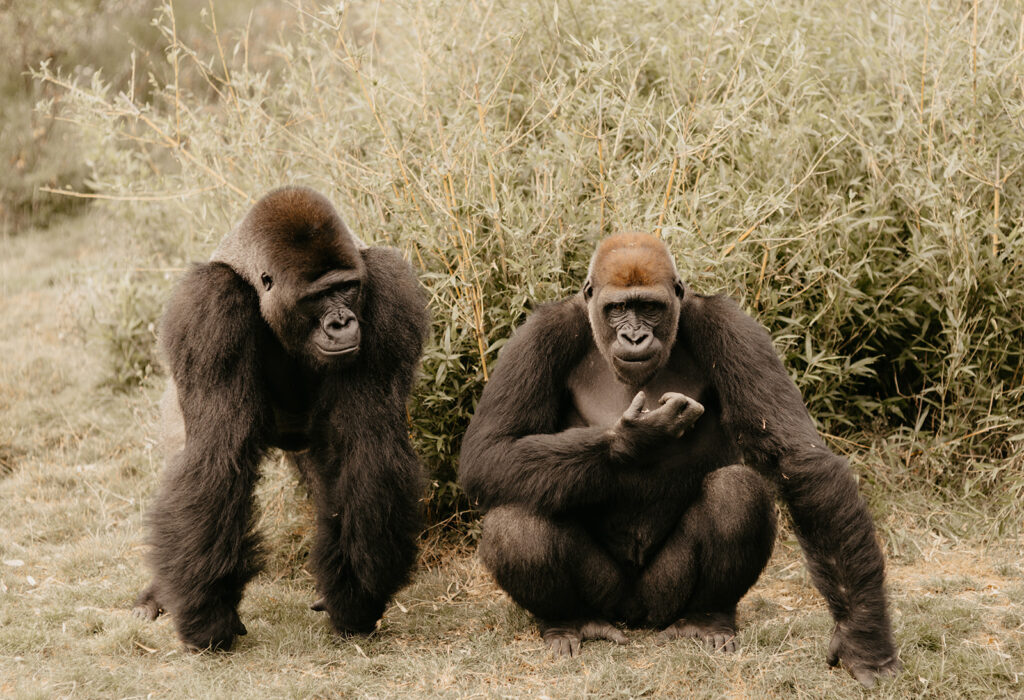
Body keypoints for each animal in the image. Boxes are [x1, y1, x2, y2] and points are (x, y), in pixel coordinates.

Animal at [132, 186, 428, 650]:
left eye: (347, 288)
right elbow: (215, 455)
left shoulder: (388, 287)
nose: (342, 322)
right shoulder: (209, 304)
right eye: (317, 297)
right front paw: (209, 614)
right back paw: (159, 593)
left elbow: (367, 441)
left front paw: (355, 596)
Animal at [460, 235, 901, 687]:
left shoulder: (729, 326)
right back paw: (570, 619)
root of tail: (634, 614)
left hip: (664, 597)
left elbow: (796, 458)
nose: (635, 337)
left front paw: (862, 636)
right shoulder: (539, 335)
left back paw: (705, 618)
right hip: (609, 598)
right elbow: (489, 452)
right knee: (517, 516)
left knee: (736, 493)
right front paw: (635, 439)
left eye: (650, 307)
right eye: (617, 308)